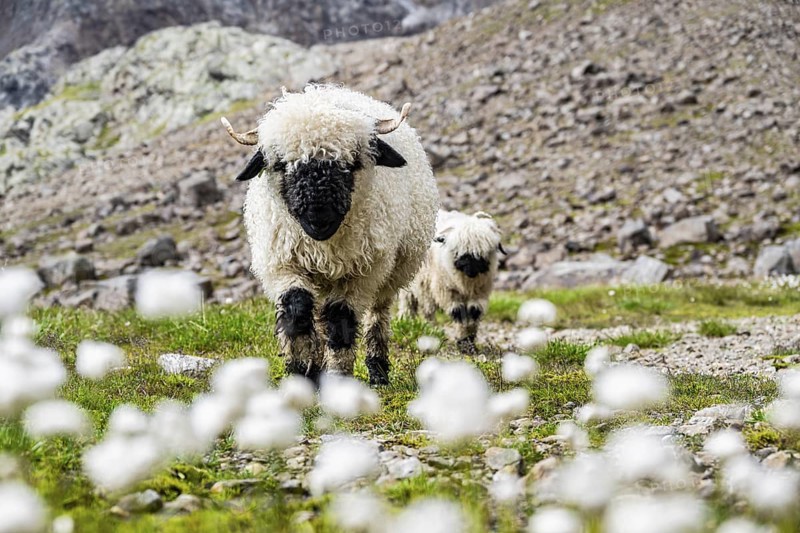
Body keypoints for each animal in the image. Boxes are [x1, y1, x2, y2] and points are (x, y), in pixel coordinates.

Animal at [221, 84, 439, 385]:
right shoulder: (281, 265)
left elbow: (340, 321)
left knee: (377, 312)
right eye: (281, 165)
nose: (319, 219)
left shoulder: (361, 273)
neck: (323, 246)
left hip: (390, 271)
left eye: (353, 162)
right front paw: (300, 371)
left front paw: (338, 376)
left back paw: (377, 369)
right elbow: (296, 311)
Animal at [398, 210, 504, 352]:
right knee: (414, 307)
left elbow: (473, 312)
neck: (465, 284)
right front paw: (464, 342)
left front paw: (467, 341)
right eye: (459, 252)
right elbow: (458, 313)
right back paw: (410, 324)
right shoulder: (446, 290)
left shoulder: (479, 292)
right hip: (413, 286)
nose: (471, 271)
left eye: (483, 254)